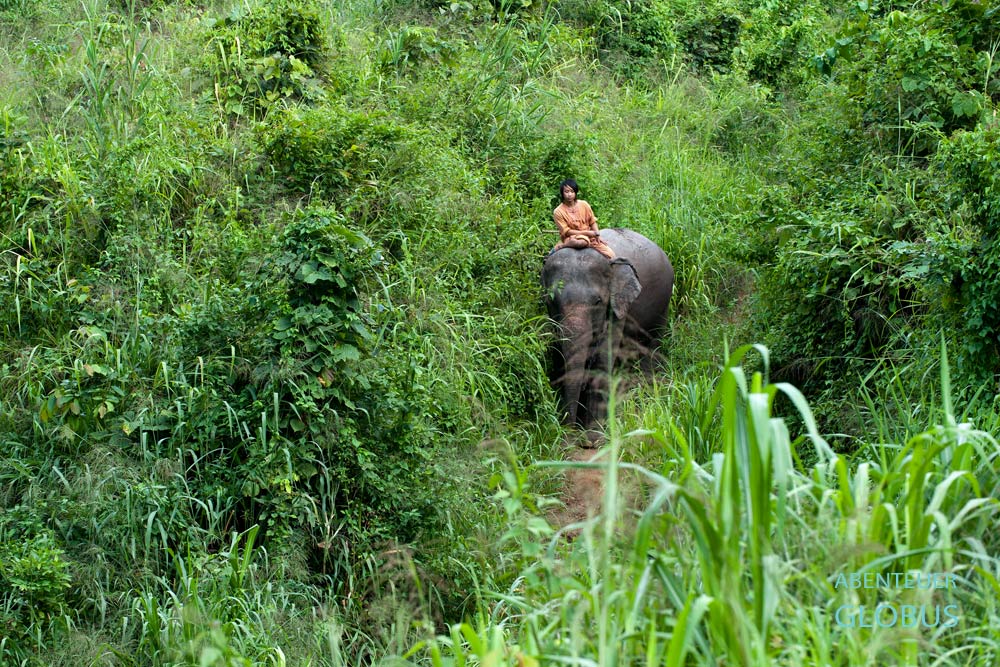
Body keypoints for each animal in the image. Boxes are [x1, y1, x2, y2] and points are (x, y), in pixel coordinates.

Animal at [542, 228, 674, 428]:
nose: (569, 428)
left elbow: (603, 361)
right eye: (552, 300)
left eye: (598, 301)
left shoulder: (618, 308)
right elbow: (559, 356)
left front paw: (594, 431)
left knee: (652, 344)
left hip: (663, 302)